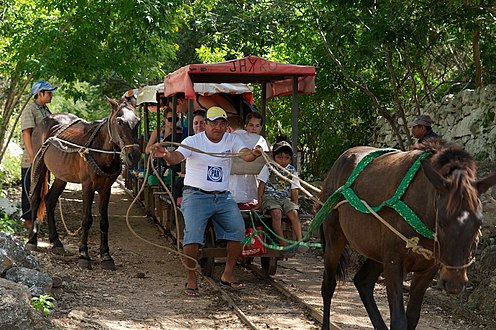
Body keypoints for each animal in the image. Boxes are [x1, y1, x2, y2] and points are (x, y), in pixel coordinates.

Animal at [27, 98, 140, 270]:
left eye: (138, 121)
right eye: (119, 121)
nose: (134, 155)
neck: (100, 150)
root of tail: (46, 120)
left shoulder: (106, 188)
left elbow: (104, 222)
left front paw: (106, 256)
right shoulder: (88, 186)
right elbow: (87, 220)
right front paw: (84, 255)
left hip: (61, 175)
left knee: (50, 200)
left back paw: (57, 242)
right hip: (38, 164)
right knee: (35, 198)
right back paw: (32, 240)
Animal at [318, 139, 496, 330]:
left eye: (479, 222)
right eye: (441, 221)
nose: (454, 283)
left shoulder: (428, 269)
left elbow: (412, 317)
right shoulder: (394, 263)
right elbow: (399, 320)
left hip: (377, 252)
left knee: (363, 281)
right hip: (334, 238)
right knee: (328, 285)